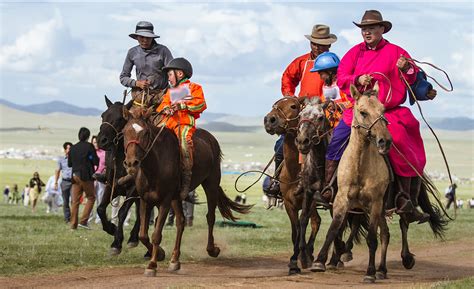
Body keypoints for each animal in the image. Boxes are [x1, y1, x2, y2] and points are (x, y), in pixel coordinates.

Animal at [123, 107, 256, 276]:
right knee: (181, 221)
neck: (154, 167)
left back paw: (212, 250)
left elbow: (156, 234)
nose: (131, 163)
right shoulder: (145, 200)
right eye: (124, 132)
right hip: (177, 197)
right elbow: (143, 235)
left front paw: (152, 265)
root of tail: (210, 139)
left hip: (211, 184)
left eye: (145, 133)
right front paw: (160, 254)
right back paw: (174, 260)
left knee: (210, 217)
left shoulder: (165, 201)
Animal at [312, 83, 392, 282]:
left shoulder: (375, 203)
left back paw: (381, 269)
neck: (360, 166)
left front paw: (370, 273)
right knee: (384, 232)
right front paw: (319, 261)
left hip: (378, 209)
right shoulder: (341, 200)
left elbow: (372, 239)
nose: (385, 141)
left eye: (383, 110)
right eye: (363, 112)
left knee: (384, 235)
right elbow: (333, 229)